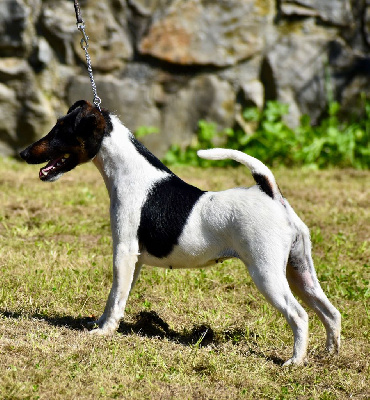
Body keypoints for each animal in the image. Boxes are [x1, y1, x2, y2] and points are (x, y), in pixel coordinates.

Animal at [18, 100, 340, 366]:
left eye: (61, 130)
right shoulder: (134, 260)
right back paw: (331, 355)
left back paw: (295, 362)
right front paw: (103, 324)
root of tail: (270, 194)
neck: (130, 173)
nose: (22, 153)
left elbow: (114, 296)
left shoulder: (123, 251)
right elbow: (120, 297)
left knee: (299, 315)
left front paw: (104, 331)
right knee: (330, 312)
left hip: (267, 273)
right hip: (299, 270)